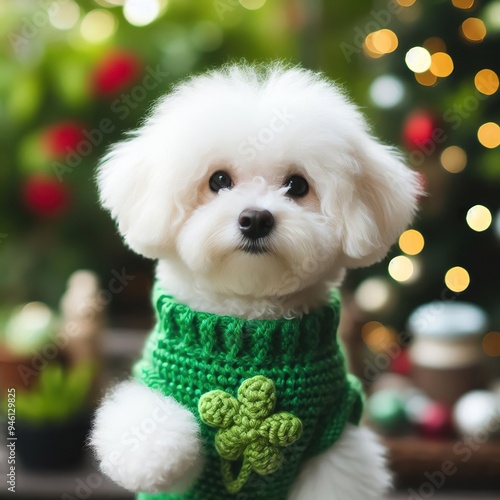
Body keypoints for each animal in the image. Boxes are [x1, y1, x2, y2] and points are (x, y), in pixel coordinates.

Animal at [89, 63, 418, 500]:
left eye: (298, 185)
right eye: (218, 180)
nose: (256, 218)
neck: (249, 321)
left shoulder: (337, 430)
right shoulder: (156, 384)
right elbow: (150, 428)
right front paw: (157, 457)